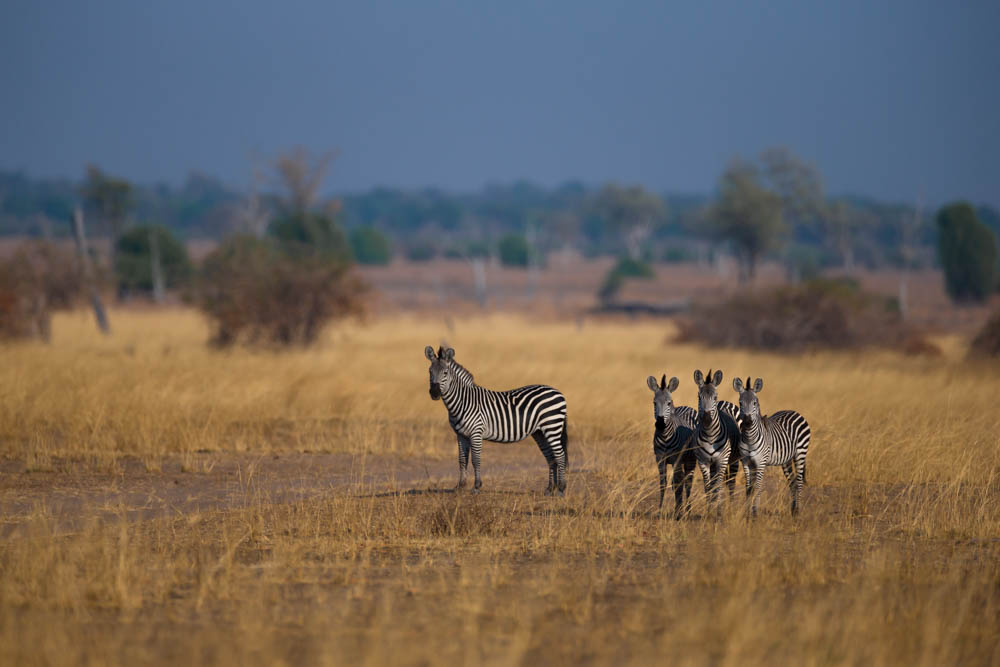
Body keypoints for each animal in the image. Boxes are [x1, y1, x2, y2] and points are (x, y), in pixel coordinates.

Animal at [424, 348, 572, 494]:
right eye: (430, 372)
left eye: (445, 372)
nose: (434, 393)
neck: (463, 402)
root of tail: (558, 392)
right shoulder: (460, 435)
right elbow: (462, 460)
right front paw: (460, 486)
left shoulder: (476, 432)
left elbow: (475, 460)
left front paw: (476, 486)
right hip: (540, 432)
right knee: (551, 458)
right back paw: (550, 489)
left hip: (552, 427)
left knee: (560, 455)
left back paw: (561, 488)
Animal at [648, 374, 696, 520]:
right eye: (654, 403)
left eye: (669, 403)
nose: (660, 424)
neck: (665, 437)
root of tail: (686, 406)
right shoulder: (660, 459)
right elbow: (663, 484)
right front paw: (660, 511)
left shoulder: (676, 459)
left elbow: (678, 484)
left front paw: (678, 513)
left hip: (690, 460)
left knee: (688, 483)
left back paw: (688, 511)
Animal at [696, 368, 744, 516]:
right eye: (699, 397)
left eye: (714, 397)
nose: (706, 420)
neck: (710, 436)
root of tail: (725, 402)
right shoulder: (703, 461)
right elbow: (708, 487)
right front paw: (709, 510)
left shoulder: (722, 460)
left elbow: (718, 487)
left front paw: (718, 512)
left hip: (733, 459)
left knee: (731, 482)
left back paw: (730, 507)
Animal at [736, 376, 812, 516]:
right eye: (740, 403)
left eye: (755, 403)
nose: (747, 422)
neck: (749, 438)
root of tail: (794, 411)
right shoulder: (745, 462)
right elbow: (748, 488)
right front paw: (747, 513)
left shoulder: (761, 463)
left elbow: (758, 487)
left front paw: (754, 513)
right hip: (786, 460)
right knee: (792, 482)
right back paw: (793, 510)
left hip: (801, 453)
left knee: (799, 482)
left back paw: (798, 511)